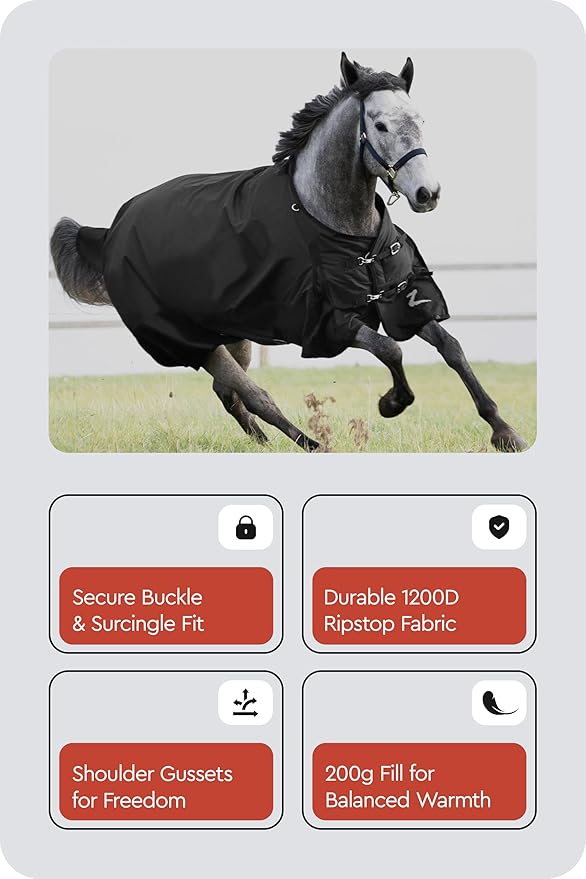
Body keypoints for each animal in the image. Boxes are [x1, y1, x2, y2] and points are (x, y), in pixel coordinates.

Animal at [50, 52, 527, 453]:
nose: (428, 194)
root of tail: (110, 232)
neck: (339, 228)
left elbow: (451, 348)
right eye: (379, 125)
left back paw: (265, 443)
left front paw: (505, 433)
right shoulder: (330, 320)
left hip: (232, 333)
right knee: (254, 394)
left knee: (230, 394)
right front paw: (391, 403)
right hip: (195, 341)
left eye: (421, 119)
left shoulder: (399, 300)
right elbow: (391, 350)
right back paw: (311, 444)